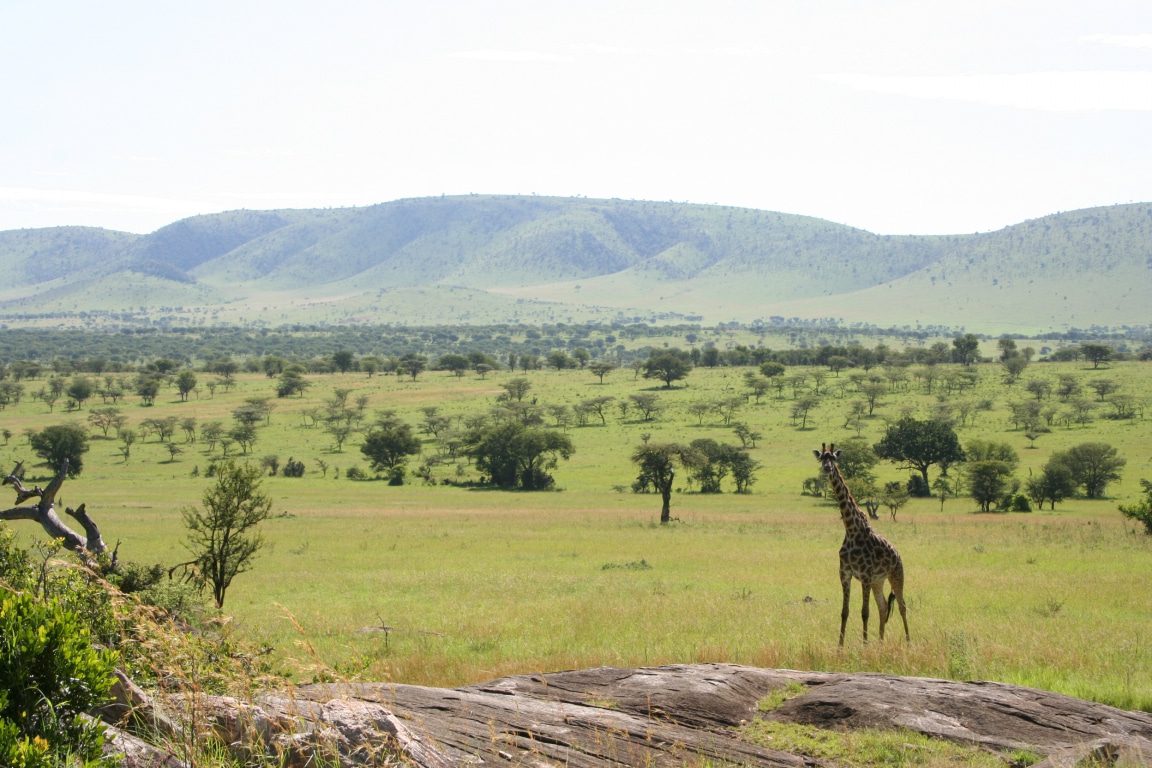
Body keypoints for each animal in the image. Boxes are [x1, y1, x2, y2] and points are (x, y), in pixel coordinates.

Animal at [814, 443, 910, 646]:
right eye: (822, 458)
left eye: (834, 458)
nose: (827, 468)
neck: (851, 529)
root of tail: (898, 554)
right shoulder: (845, 574)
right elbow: (845, 612)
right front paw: (840, 647)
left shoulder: (865, 575)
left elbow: (865, 612)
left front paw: (864, 646)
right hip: (878, 581)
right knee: (883, 607)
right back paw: (880, 643)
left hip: (896, 575)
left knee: (902, 606)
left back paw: (908, 642)